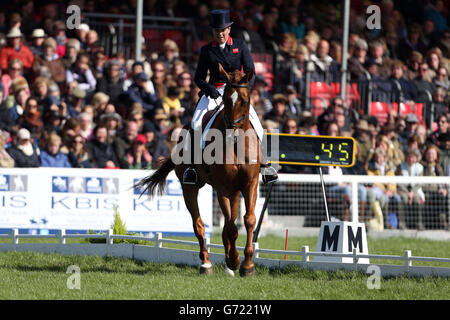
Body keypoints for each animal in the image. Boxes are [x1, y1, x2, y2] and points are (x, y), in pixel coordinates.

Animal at [135, 64, 258, 276]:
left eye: (245, 100)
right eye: (226, 100)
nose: (232, 134)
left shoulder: (250, 183)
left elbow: (247, 220)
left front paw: (247, 265)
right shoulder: (222, 187)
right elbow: (231, 228)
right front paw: (235, 260)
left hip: (233, 191)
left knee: (228, 222)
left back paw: (228, 265)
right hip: (189, 188)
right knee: (199, 224)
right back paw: (207, 263)